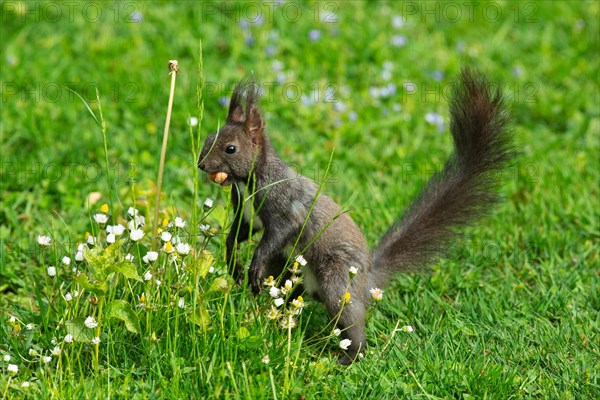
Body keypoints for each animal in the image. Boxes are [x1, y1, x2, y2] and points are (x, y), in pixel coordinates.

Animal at [198, 69, 516, 366]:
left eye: (231, 149)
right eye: (208, 138)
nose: (201, 165)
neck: (247, 182)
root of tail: (366, 280)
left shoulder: (285, 207)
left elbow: (276, 235)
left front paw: (253, 265)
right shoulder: (247, 215)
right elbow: (237, 234)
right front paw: (233, 262)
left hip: (337, 280)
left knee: (350, 321)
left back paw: (349, 356)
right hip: (288, 269)